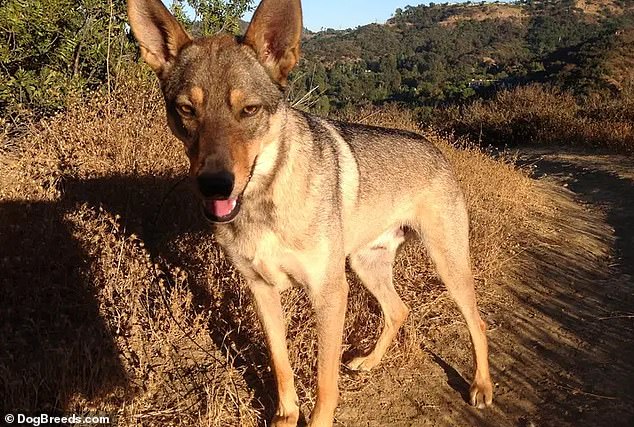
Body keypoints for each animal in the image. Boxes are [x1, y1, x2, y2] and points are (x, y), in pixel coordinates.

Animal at [127, 0, 494, 426]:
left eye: (249, 110)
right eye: (186, 109)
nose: (214, 184)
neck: (266, 202)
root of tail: (437, 149)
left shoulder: (329, 293)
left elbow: (323, 381)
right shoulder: (262, 290)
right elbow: (281, 364)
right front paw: (286, 415)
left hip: (447, 264)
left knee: (477, 321)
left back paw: (481, 386)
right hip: (366, 264)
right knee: (398, 310)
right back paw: (369, 361)